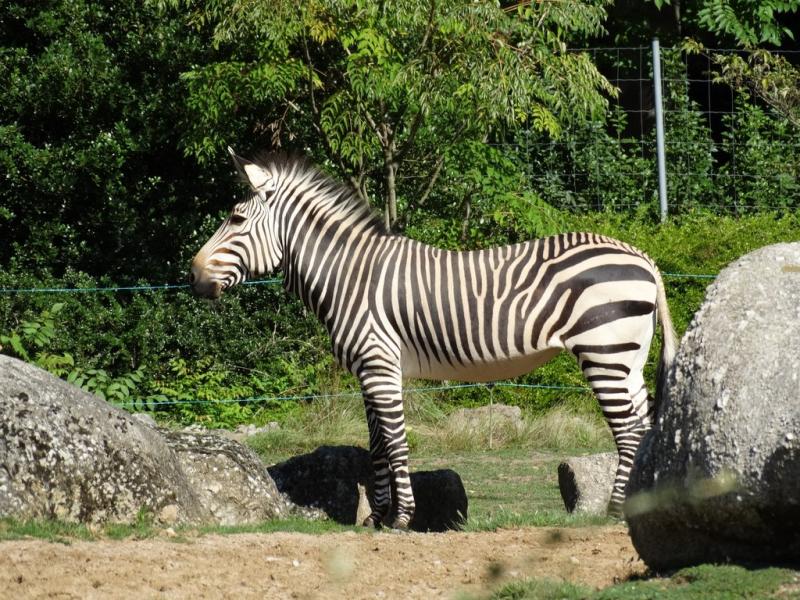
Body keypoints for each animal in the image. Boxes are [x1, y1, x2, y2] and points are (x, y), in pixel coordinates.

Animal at [189, 149, 677, 527]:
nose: (192, 277)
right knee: (644, 425)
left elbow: (396, 442)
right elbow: (377, 447)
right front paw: (377, 517)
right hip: (629, 358)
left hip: (604, 351)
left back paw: (615, 511)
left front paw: (402, 518)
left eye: (235, 218)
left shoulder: (379, 364)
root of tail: (641, 256)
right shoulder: (373, 370)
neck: (350, 275)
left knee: (629, 431)